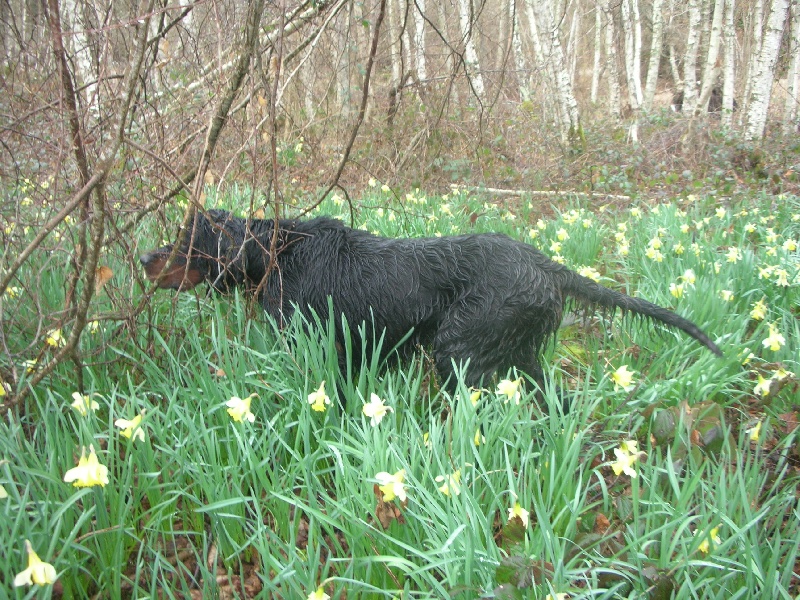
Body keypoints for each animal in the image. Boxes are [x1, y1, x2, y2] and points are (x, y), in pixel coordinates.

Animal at [141, 210, 720, 390]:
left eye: (186, 241)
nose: (145, 257)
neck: (277, 253)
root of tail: (542, 264)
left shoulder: (322, 344)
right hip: (519, 353)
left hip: (460, 350)